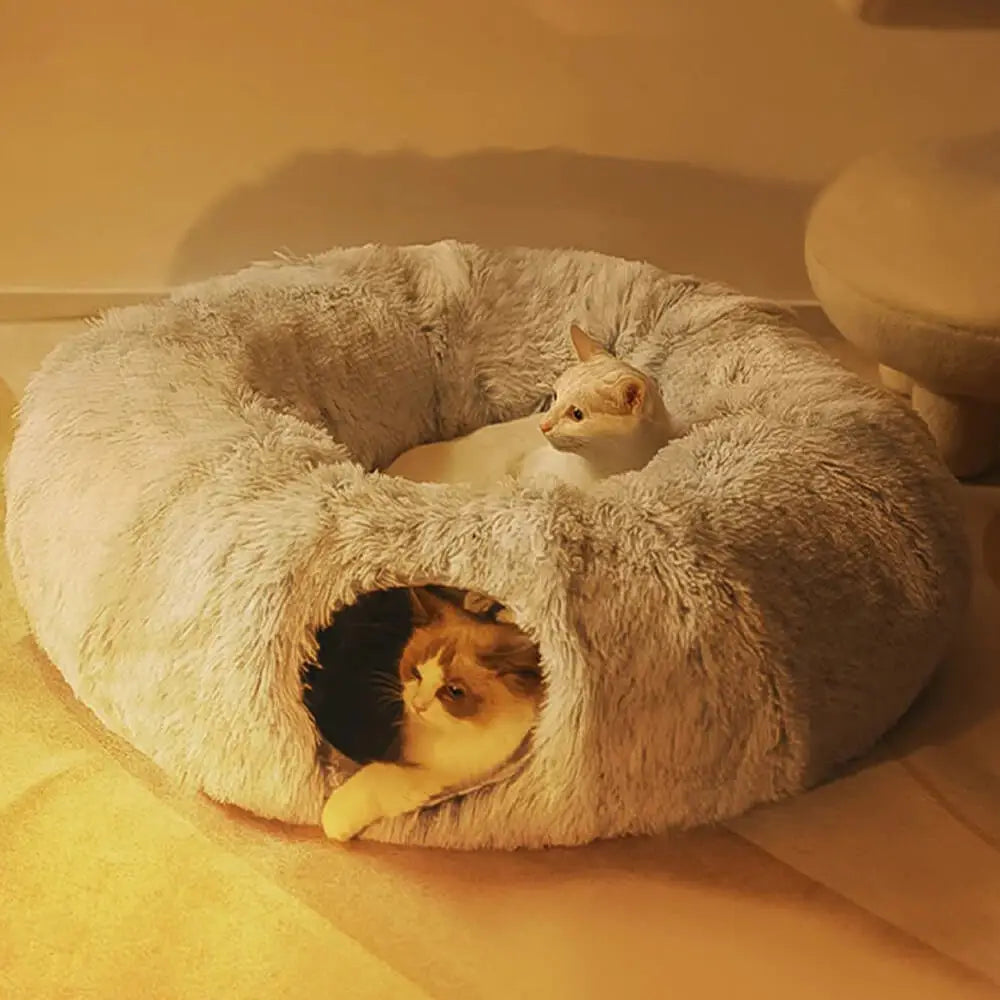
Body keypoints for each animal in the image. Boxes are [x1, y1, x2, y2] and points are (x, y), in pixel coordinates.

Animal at [320, 584, 544, 840]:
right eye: (416, 673)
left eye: (454, 691)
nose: (418, 704)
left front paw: (334, 818)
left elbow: (378, 776)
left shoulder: (447, 776)